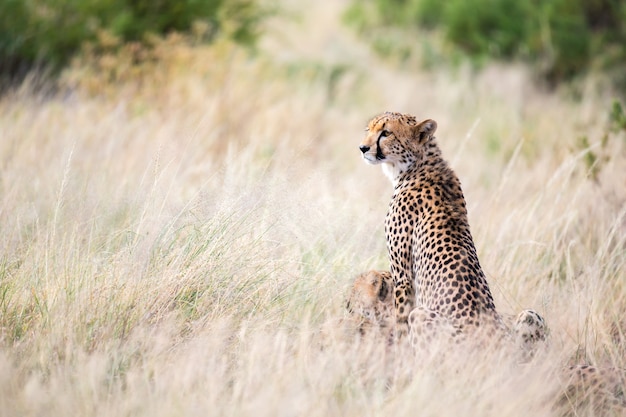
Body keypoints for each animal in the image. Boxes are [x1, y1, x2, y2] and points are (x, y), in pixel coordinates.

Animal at [358, 110, 500, 342]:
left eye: (386, 133)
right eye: (368, 129)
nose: (362, 148)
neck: (416, 165)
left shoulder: (403, 277)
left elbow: (401, 322)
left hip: (422, 315)